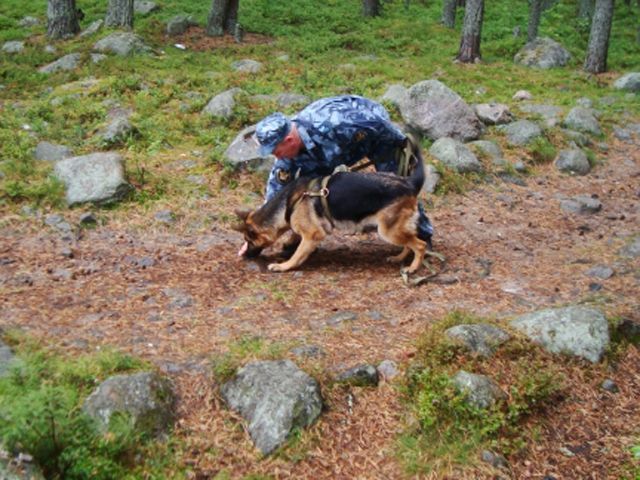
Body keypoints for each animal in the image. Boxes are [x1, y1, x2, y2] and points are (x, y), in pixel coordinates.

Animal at [234, 152, 424, 272]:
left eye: (248, 240)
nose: (245, 256)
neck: (287, 204)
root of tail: (408, 183)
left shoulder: (312, 235)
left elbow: (297, 255)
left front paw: (284, 266)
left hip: (387, 231)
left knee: (420, 245)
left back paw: (413, 268)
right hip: (395, 229)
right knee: (410, 243)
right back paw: (399, 258)